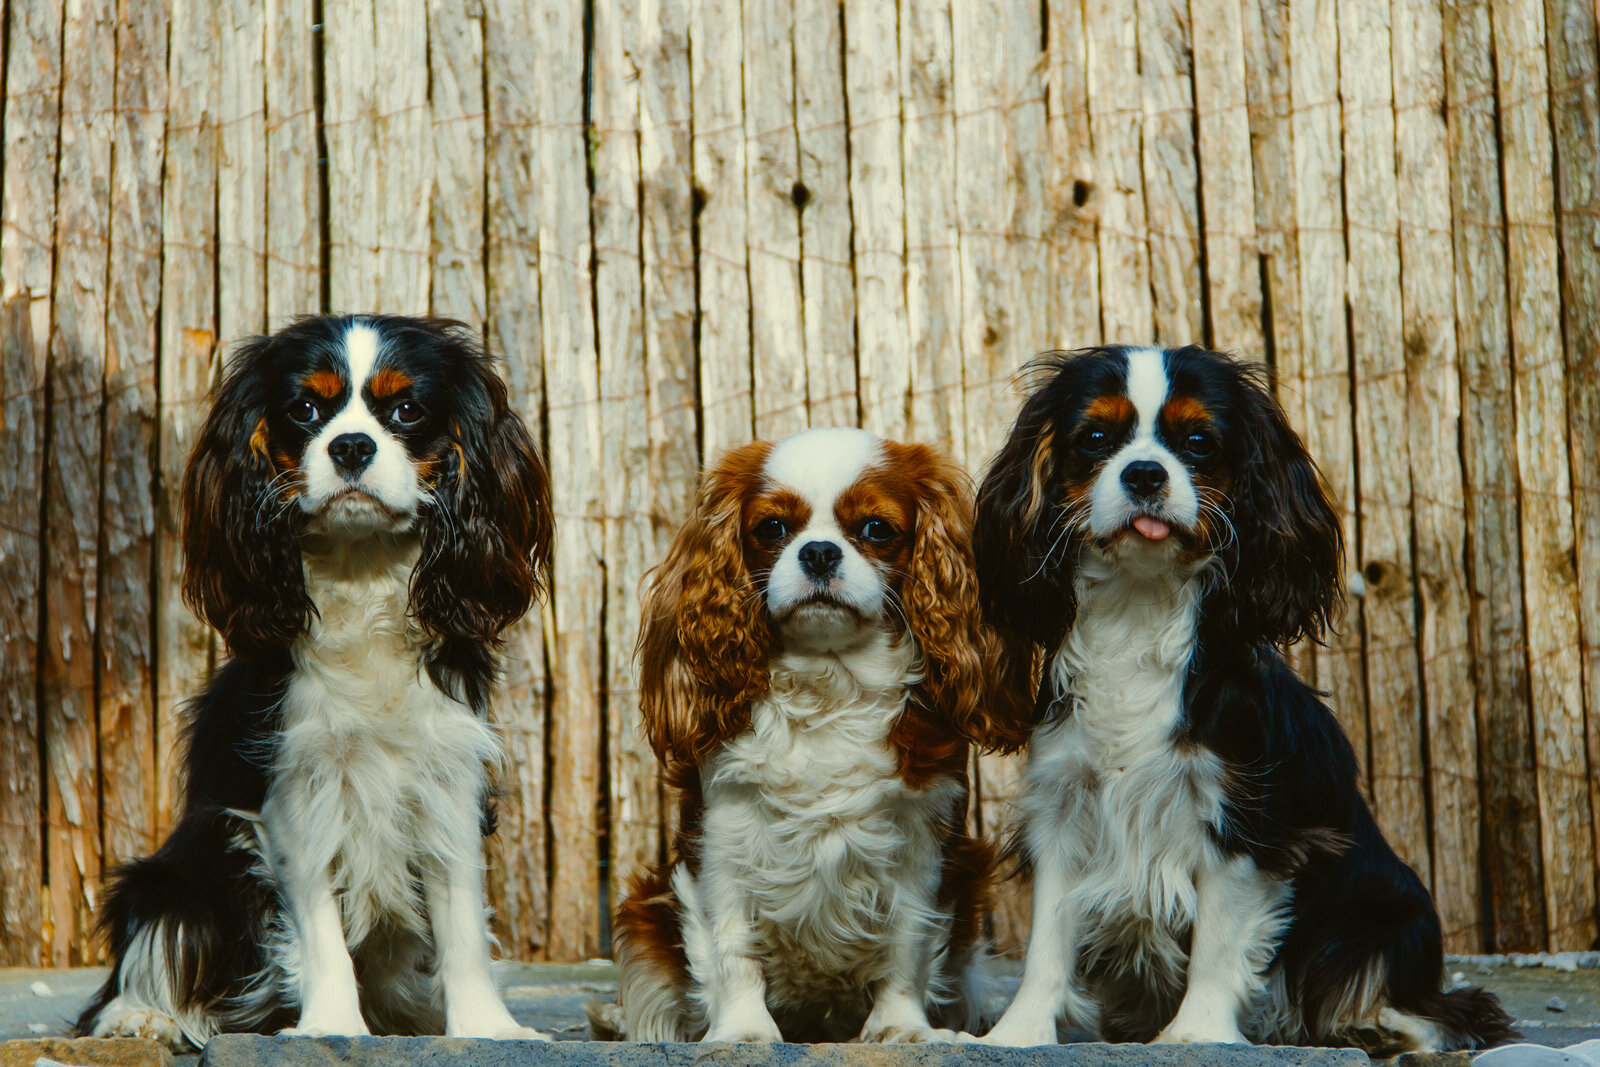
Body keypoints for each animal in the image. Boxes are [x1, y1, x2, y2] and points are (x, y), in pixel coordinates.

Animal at [78, 313, 553, 1049]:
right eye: (305, 410)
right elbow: (319, 920)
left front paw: (485, 1027)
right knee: (155, 945)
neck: (361, 570)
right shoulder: (296, 788)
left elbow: (460, 917)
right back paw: (141, 1016)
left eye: (406, 410)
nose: (351, 445)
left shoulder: (447, 778)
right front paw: (332, 1024)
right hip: (169, 879)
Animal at [960, 348, 1510, 1049]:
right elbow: (1046, 942)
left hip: (1383, 919)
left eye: (1198, 442)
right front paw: (1018, 1033)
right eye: (1096, 438)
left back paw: (1381, 1030)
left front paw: (1195, 1034)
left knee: (1439, 1008)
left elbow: (1218, 944)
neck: (1139, 607)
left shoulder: (1244, 821)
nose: (1144, 473)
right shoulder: (1063, 807)